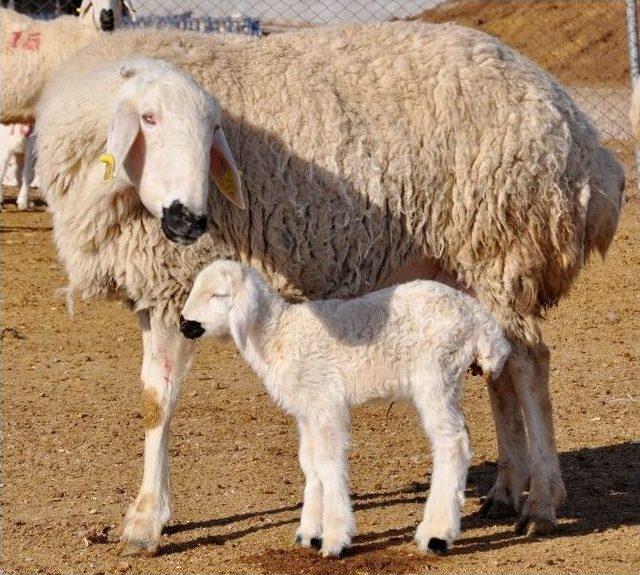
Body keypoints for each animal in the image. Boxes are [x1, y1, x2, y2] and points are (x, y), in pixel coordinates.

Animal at [181, 260, 516, 560]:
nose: (183, 324)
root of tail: (483, 324)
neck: (278, 334)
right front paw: (310, 533)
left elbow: (329, 465)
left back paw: (436, 535)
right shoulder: (308, 409)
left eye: (217, 295)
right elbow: (310, 464)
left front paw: (334, 539)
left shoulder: (326, 401)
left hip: (437, 374)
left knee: (453, 443)